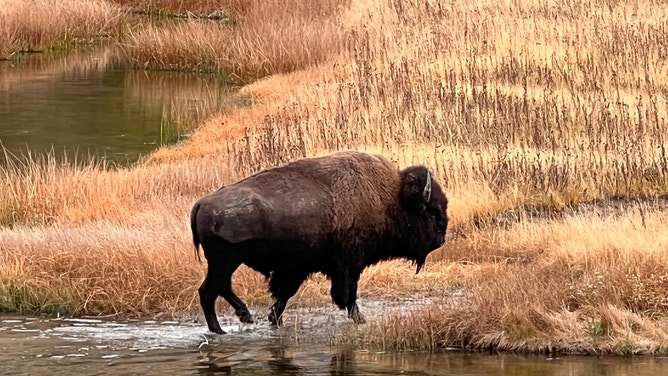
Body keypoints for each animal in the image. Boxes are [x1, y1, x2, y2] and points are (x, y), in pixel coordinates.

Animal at [189, 151, 448, 334]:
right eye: (433, 211)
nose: (441, 238)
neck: (390, 198)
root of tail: (201, 203)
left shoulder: (295, 269)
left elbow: (284, 296)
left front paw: (275, 320)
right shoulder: (348, 266)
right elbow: (347, 296)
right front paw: (361, 320)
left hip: (226, 262)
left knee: (220, 287)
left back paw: (244, 316)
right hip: (225, 260)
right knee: (209, 291)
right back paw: (220, 330)